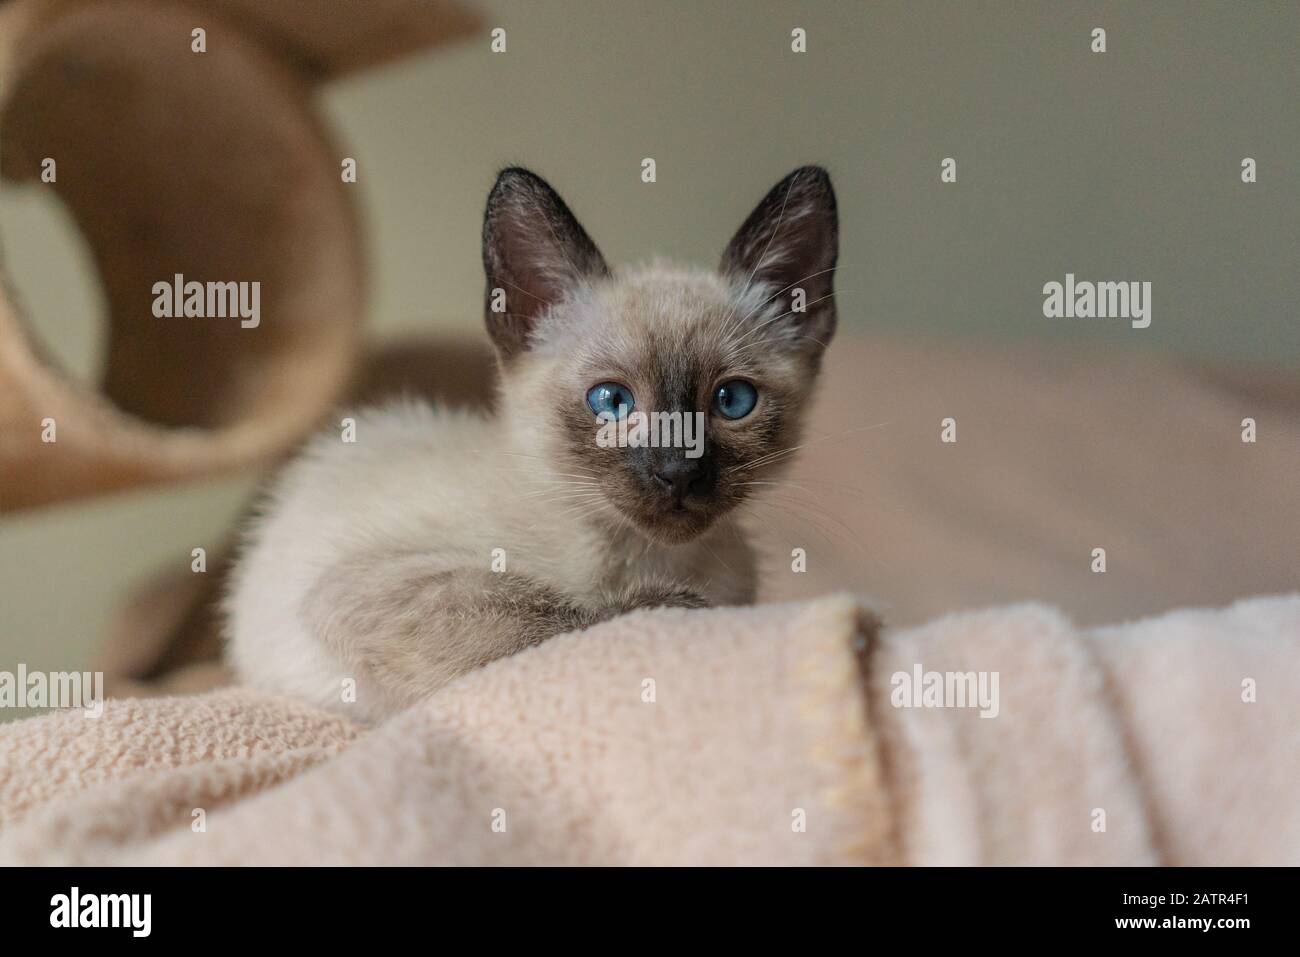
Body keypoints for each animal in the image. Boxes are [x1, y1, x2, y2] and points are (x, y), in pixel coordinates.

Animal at [227, 164, 837, 722]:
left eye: (732, 400)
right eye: (612, 401)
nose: (677, 471)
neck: (650, 556)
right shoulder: (362, 589)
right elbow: (569, 617)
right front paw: (675, 607)